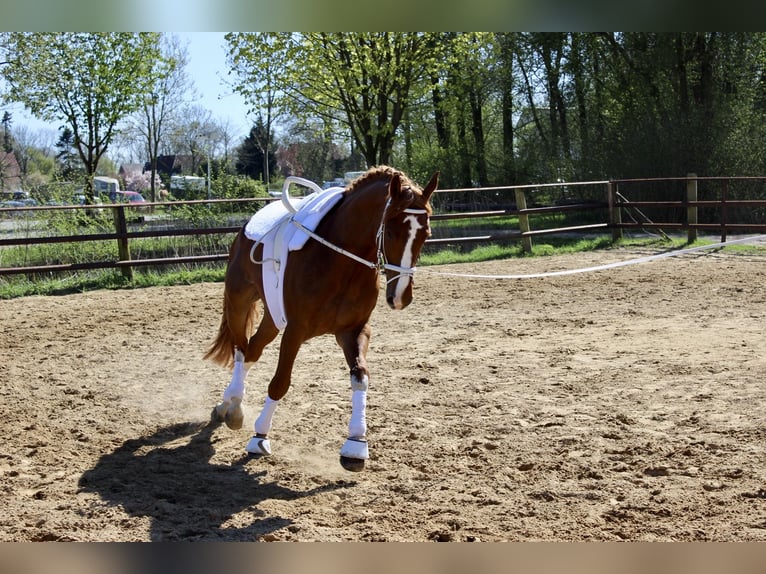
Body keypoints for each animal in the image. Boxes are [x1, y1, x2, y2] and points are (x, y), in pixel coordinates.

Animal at [204, 166, 439, 471]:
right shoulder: (295, 330)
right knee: (241, 350)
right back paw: (233, 405)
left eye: (426, 233)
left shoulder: (353, 331)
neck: (341, 261)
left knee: (253, 349)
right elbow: (280, 383)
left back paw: (227, 407)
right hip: (239, 302)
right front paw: (259, 437)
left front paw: (356, 445)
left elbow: (361, 377)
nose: (400, 297)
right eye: (391, 231)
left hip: (273, 317)